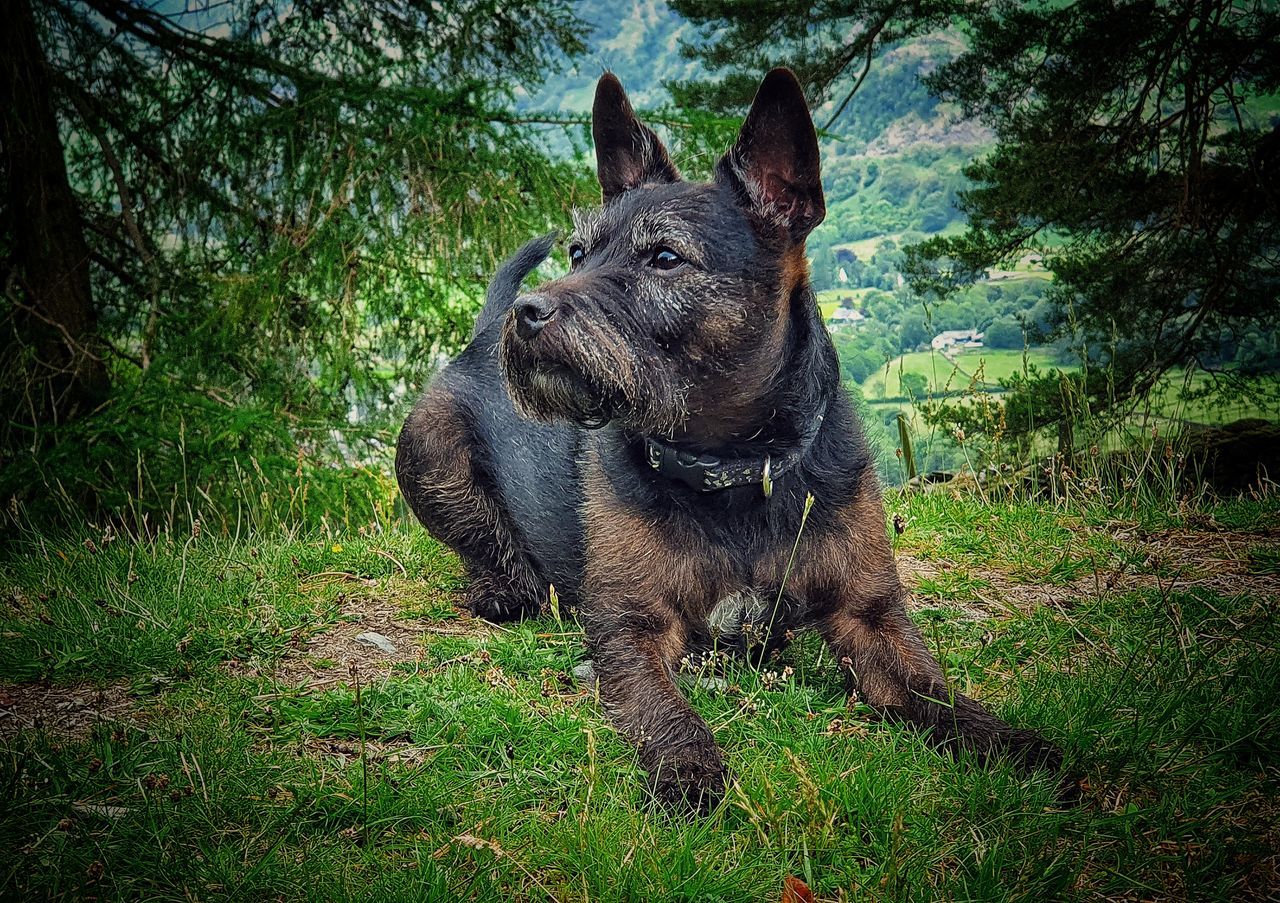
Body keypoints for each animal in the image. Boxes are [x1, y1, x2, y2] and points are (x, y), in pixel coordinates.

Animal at [396, 66, 1059, 804]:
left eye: (664, 257)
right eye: (578, 250)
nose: (528, 313)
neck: (735, 467)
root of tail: (483, 333)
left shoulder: (870, 614)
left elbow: (936, 693)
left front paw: (1012, 742)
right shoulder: (631, 627)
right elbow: (663, 706)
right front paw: (689, 766)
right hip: (431, 452)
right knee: (489, 547)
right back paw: (502, 584)